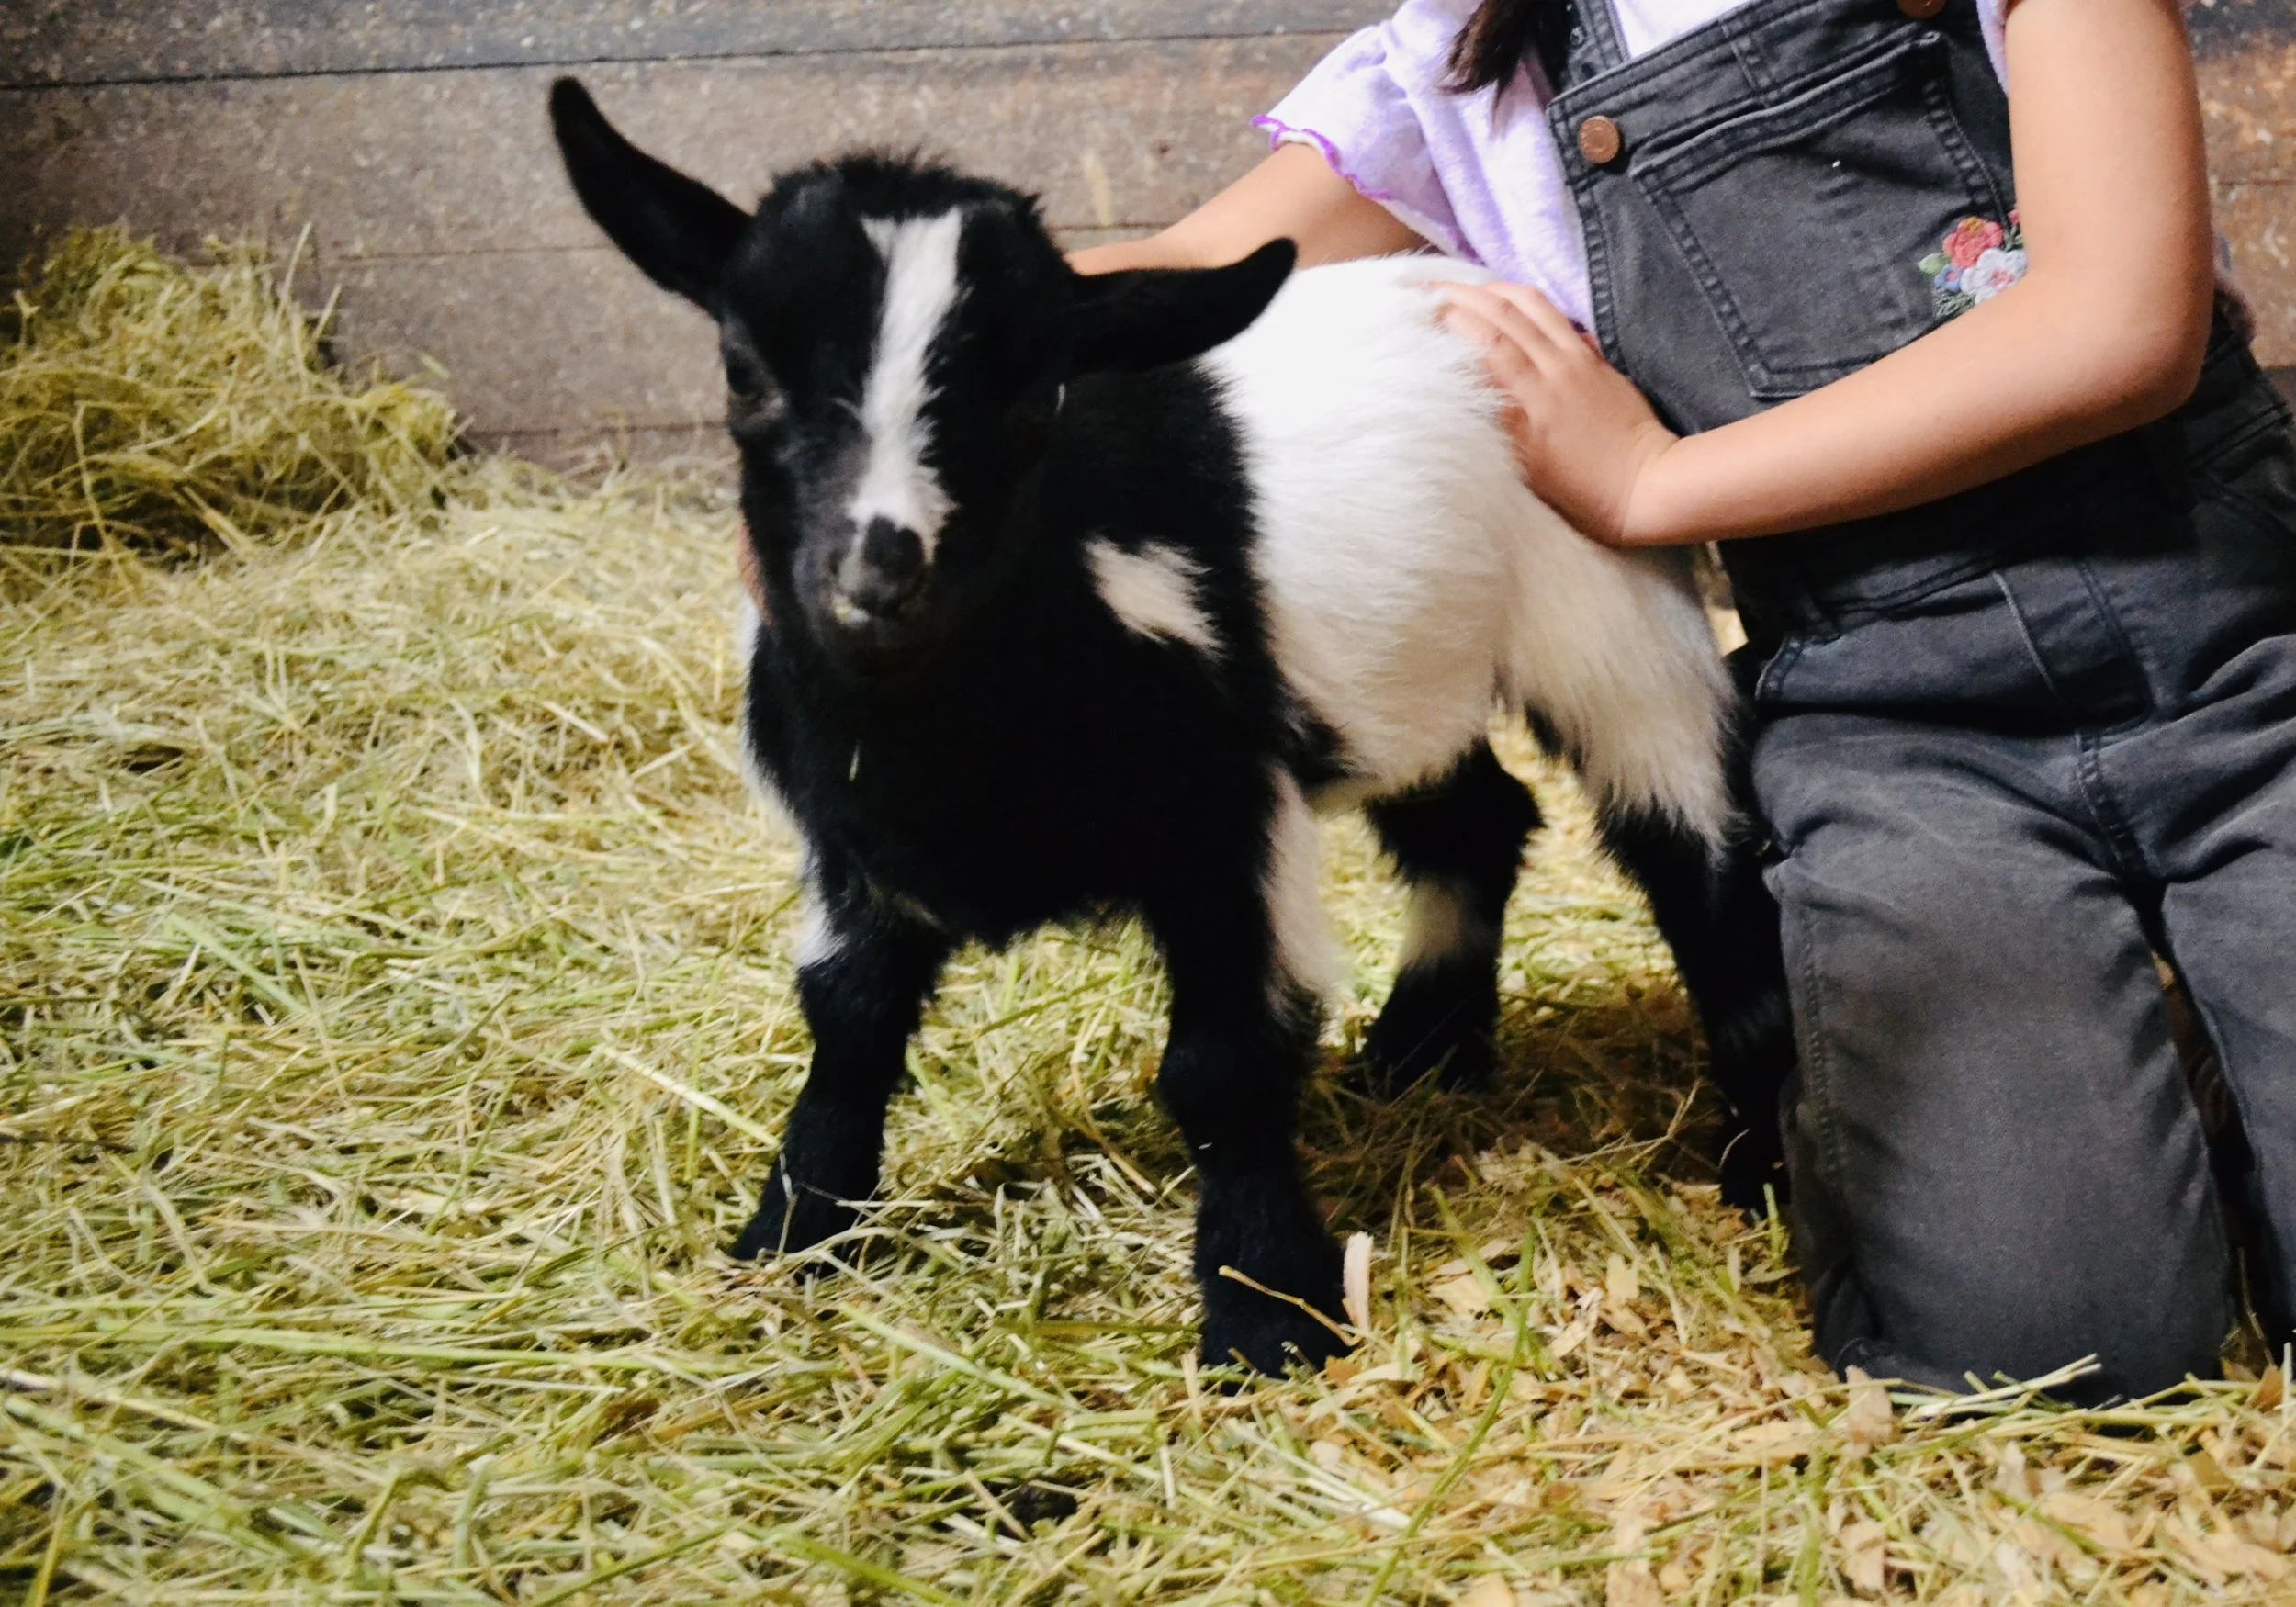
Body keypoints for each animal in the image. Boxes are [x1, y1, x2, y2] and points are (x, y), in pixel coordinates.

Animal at [551, 79, 1793, 1374]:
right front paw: (789, 1235)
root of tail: (1475, 286)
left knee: (1694, 848)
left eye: (1033, 392)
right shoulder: (854, 847)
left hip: (1612, 619)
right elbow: (846, 1021)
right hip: (1394, 677)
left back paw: (1756, 1158)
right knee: (1475, 824)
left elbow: (1223, 1063)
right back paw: (1421, 1051)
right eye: (743, 372)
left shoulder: (1224, 816)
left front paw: (1264, 1313)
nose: (875, 577)